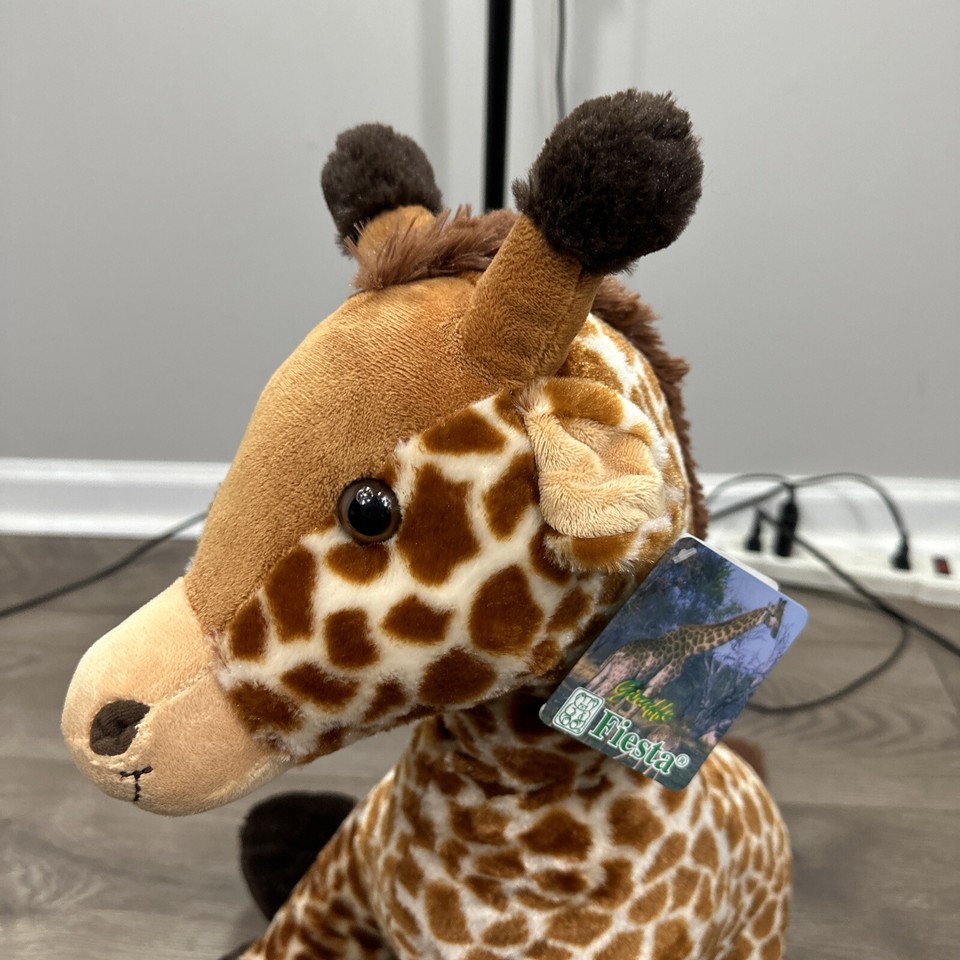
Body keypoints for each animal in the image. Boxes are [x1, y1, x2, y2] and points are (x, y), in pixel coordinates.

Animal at [587, 600, 788, 700]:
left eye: (781, 616)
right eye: (772, 614)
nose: (775, 633)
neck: (692, 647)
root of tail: (618, 653)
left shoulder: (645, 684)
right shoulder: (657, 684)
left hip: (606, 671)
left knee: (591, 687)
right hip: (619, 675)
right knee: (599, 693)